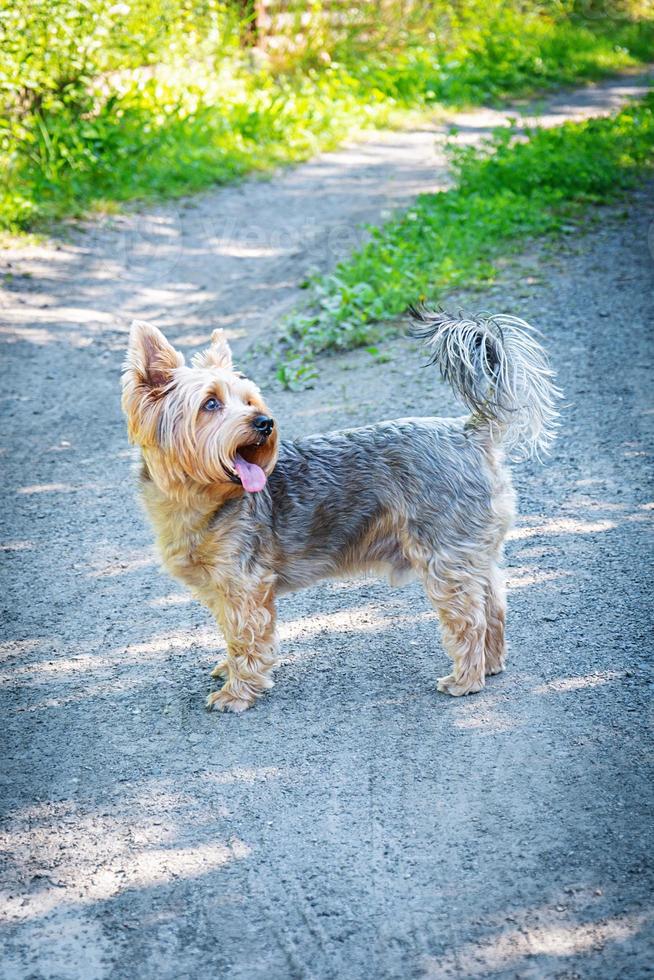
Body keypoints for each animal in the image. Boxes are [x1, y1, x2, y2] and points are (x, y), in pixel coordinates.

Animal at [121, 312, 560, 712]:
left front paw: (237, 692)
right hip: (474, 553)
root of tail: (468, 432)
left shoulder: (244, 585)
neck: (202, 495)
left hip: (444, 557)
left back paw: (465, 679)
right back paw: (491, 665)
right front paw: (230, 671)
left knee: (469, 617)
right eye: (210, 404)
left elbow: (245, 637)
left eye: (248, 401)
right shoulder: (219, 590)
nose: (265, 422)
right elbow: (230, 633)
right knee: (494, 603)